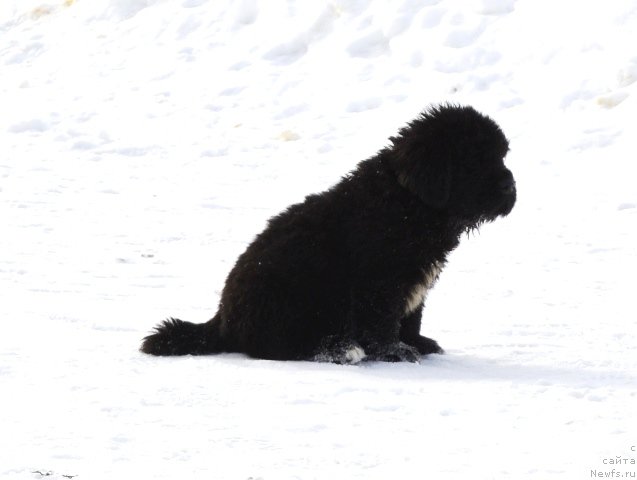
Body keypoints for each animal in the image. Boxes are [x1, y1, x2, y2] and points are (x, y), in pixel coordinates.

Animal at [142, 103, 516, 362]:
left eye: (501, 156)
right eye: (473, 162)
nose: (511, 187)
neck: (408, 201)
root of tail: (221, 321)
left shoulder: (415, 284)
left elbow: (411, 318)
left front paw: (418, 343)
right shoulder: (379, 283)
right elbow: (382, 323)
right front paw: (396, 352)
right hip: (293, 300)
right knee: (282, 345)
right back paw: (340, 349)